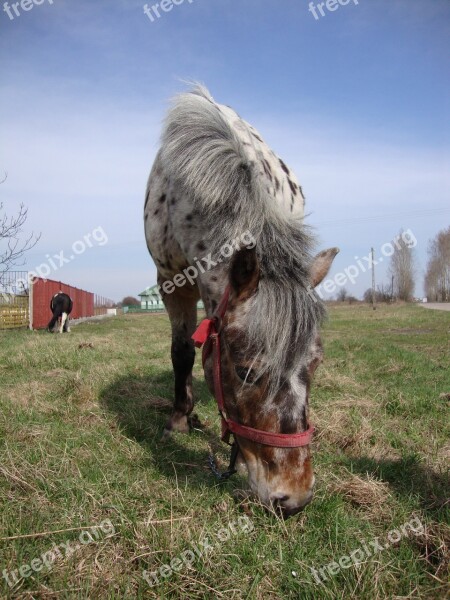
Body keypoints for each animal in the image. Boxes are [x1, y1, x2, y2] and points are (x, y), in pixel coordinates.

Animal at [144, 85, 338, 516]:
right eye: (246, 371)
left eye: (316, 364)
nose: (294, 497)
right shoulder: (170, 281)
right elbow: (182, 351)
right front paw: (178, 421)